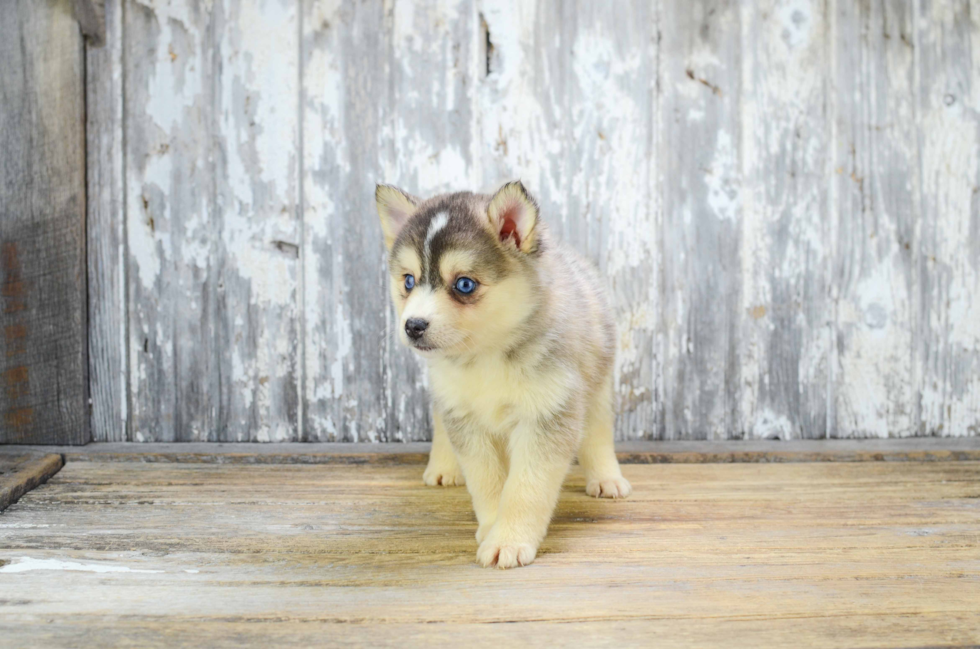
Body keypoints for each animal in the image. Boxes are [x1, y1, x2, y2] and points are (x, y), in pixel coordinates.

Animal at [376, 178, 628, 568]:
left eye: (464, 284)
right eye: (408, 281)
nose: (413, 326)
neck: (486, 356)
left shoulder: (547, 414)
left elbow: (525, 488)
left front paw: (508, 540)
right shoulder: (464, 418)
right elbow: (486, 482)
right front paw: (491, 526)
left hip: (596, 385)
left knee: (597, 433)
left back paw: (606, 478)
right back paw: (444, 467)